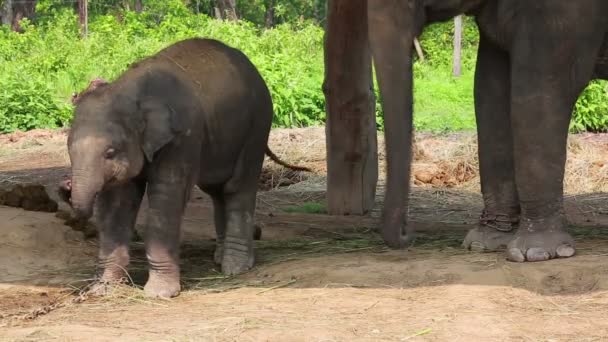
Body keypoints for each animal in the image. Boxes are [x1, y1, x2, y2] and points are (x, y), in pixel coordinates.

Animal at [67, 37, 308, 298]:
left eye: (110, 152)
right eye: (69, 150)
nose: (66, 187)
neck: (131, 89)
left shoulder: (183, 137)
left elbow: (166, 197)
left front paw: (159, 293)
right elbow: (117, 204)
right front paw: (104, 289)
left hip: (257, 125)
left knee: (237, 188)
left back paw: (236, 267)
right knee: (217, 191)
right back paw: (219, 257)